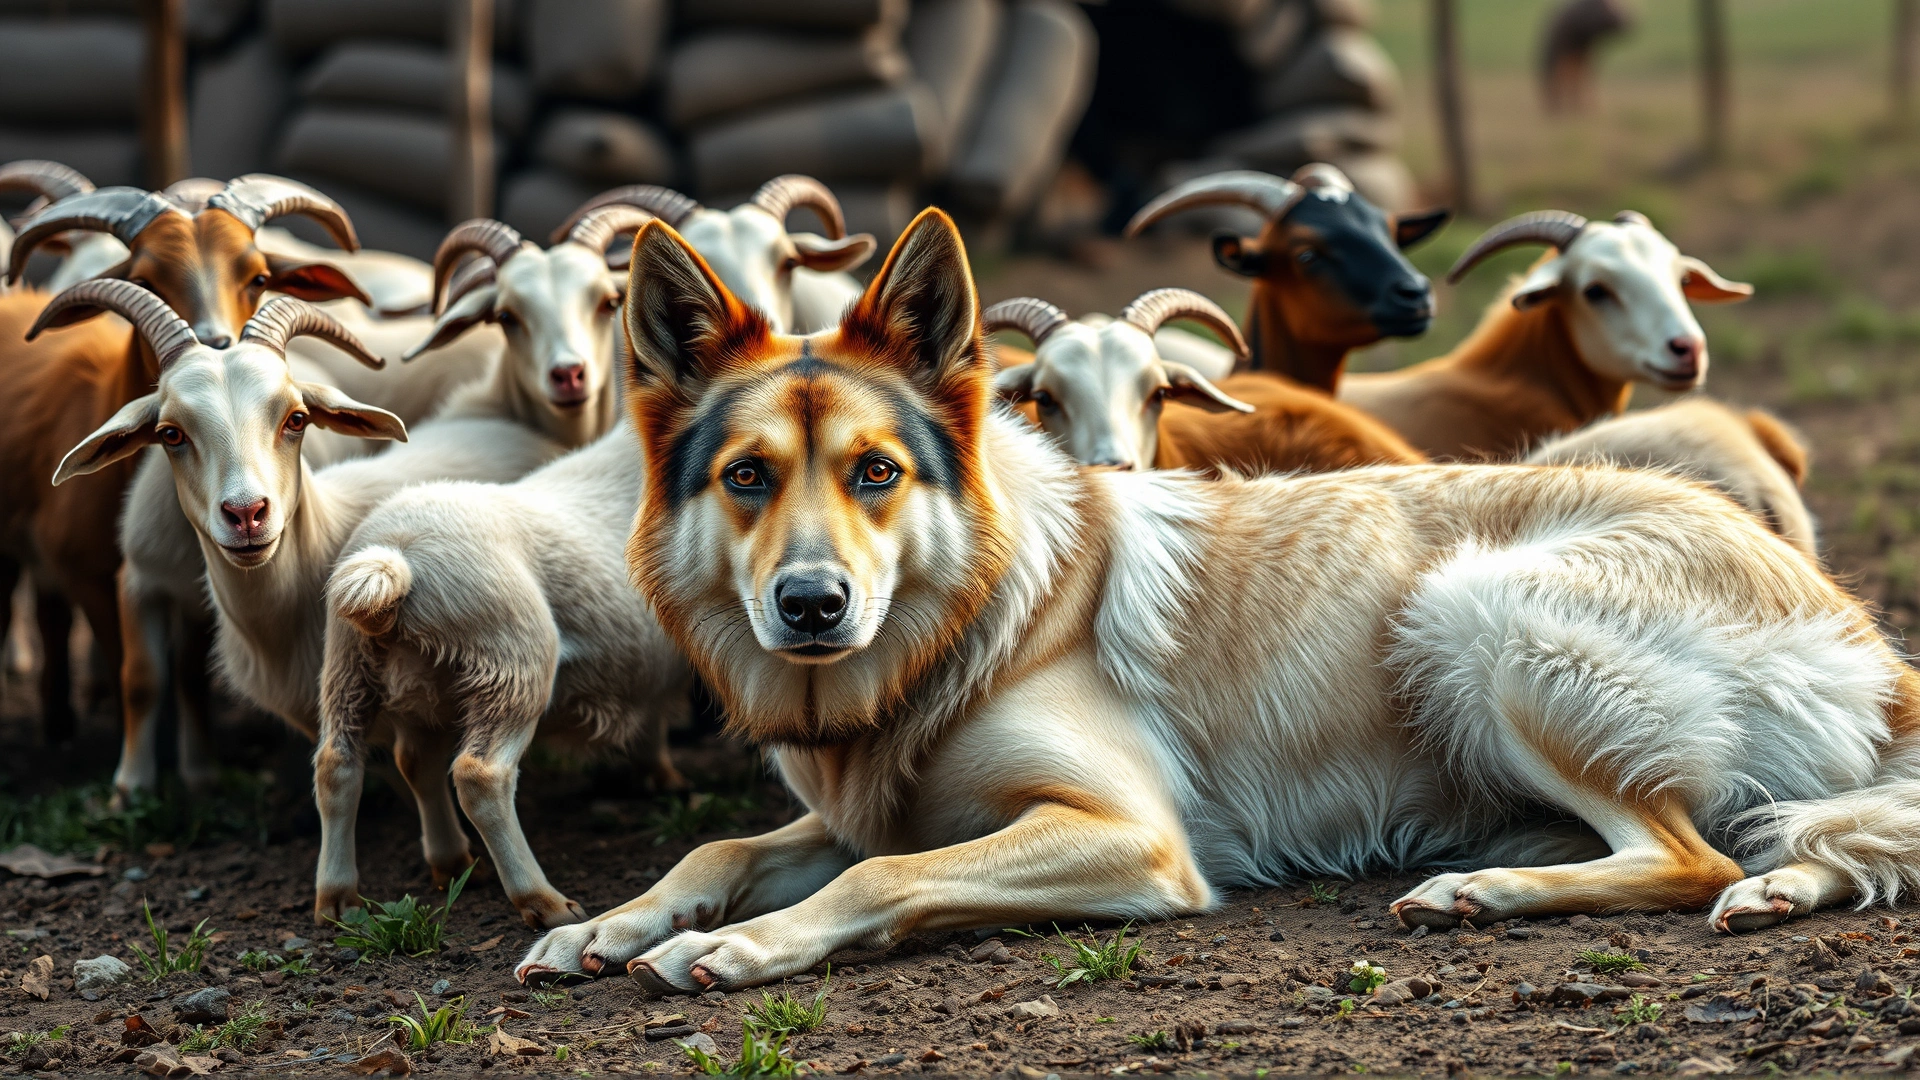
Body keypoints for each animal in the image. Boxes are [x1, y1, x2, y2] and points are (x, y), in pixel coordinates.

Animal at [0, 175, 368, 744]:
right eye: (142, 279)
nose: (218, 346)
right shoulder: (96, 577)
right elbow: (129, 670)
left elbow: (188, 674)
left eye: (259, 277)